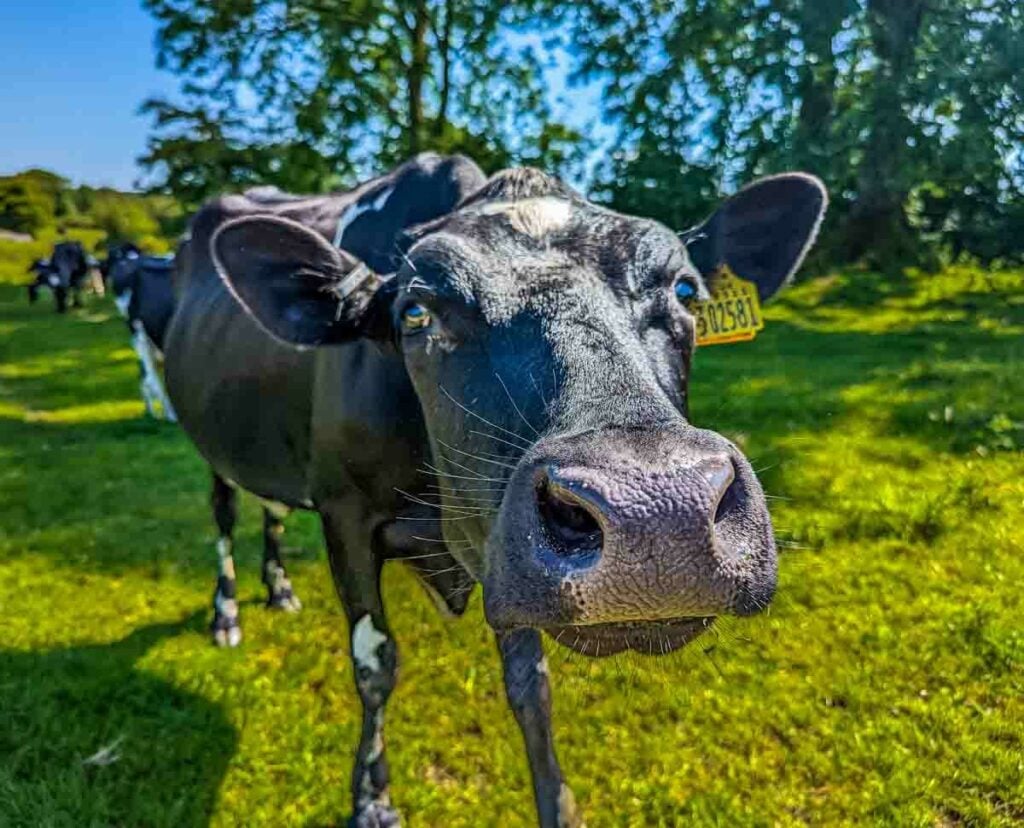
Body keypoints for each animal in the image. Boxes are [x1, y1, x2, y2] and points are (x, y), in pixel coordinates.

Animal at [165, 153, 823, 826]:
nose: (657, 513)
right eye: (416, 312)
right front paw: (372, 800)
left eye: (685, 290)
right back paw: (226, 614)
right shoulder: (343, 515)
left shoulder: (501, 549)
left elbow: (531, 682)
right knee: (225, 514)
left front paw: (557, 804)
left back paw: (279, 590)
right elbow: (375, 663)